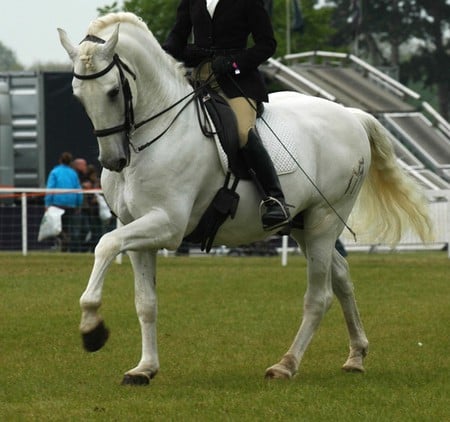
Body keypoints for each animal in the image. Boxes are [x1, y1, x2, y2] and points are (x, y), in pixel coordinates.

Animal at [57, 11, 432, 384]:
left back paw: (286, 365)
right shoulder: (135, 226)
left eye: (113, 91)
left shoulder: (167, 224)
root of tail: (351, 115)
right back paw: (356, 355)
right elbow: (145, 301)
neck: (155, 134)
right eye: (78, 95)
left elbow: (104, 244)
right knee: (341, 278)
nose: (113, 161)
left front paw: (92, 328)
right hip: (303, 225)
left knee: (319, 296)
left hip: (325, 220)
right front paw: (144, 368)